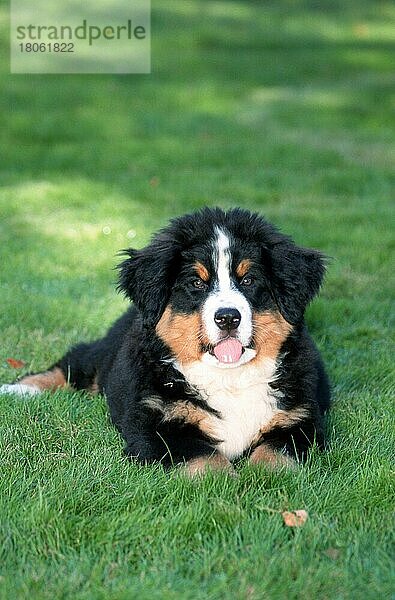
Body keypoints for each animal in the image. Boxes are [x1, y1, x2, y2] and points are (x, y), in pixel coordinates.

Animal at [0, 209, 332, 476]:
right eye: (196, 283)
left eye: (249, 280)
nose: (227, 318)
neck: (229, 379)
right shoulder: (155, 421)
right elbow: (205, 459)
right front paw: (227, 484)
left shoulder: (300, 419)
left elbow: (276, 456)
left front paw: (264, 481)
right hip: (101, 354)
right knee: (71, 365)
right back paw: (18, 389)